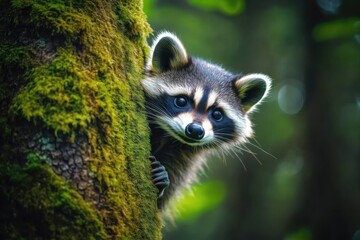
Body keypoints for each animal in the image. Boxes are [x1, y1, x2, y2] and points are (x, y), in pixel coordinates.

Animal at [141, 32, 270, 210]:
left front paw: (163, 184)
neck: (170, 138)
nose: (195, 130)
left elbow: (166, 197)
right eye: (181, 101)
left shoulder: (184, 159)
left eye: (217, 114)